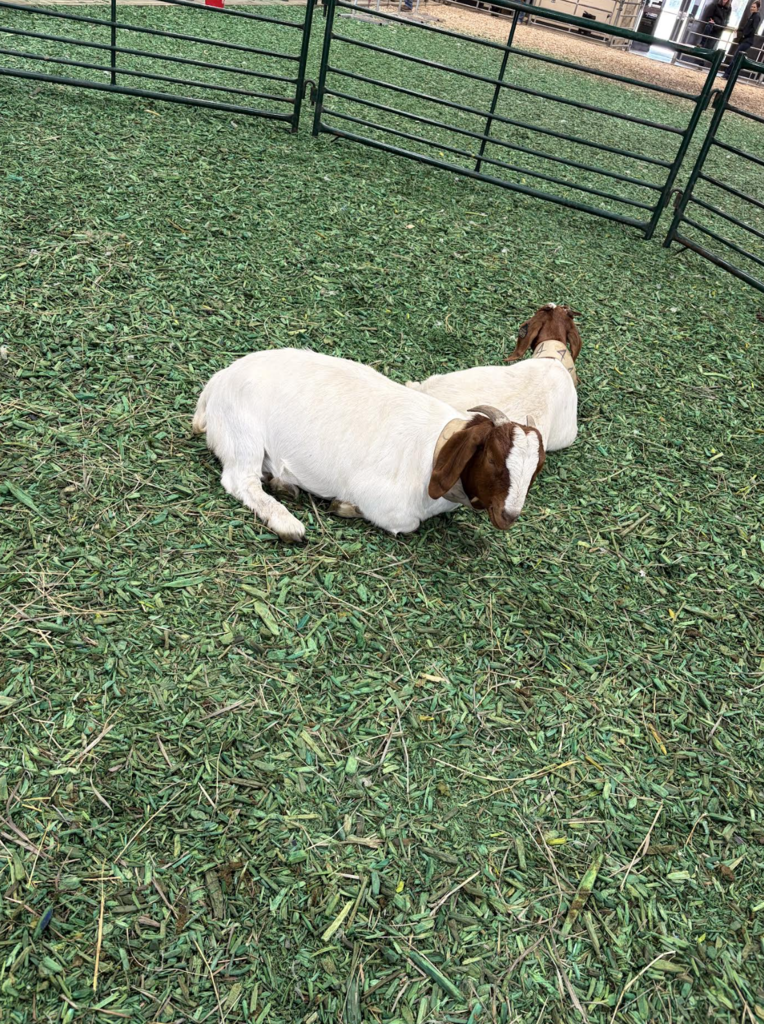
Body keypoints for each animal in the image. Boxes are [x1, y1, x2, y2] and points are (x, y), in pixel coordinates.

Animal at [192, 348, 545, 542]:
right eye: (494, 460)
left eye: (535, 472)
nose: (509, 515)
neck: (434, 451)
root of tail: (218, 381)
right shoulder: (385, 502)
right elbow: (406, 525)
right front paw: (345, 506)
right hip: (244, 434)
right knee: (240, 480)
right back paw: (287, 523)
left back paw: (283, 485)